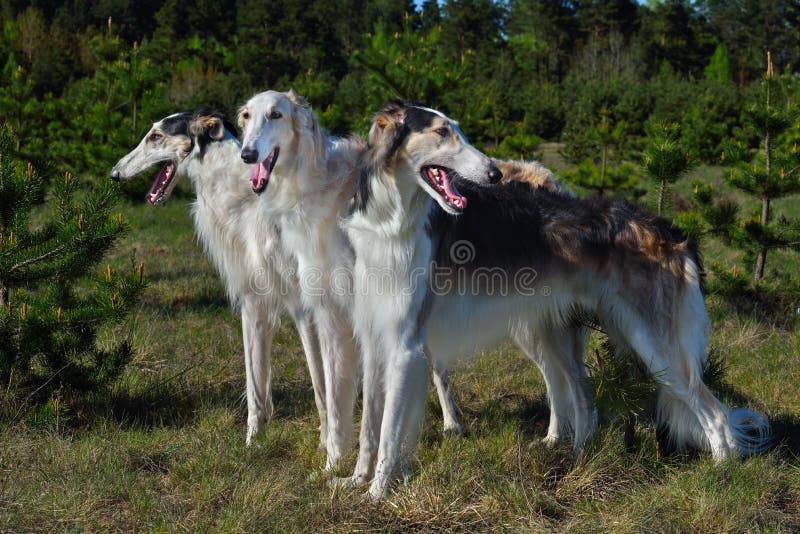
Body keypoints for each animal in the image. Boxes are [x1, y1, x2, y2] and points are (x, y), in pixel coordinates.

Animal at [108, 109, 328, 452]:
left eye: (156, 136)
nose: (114, 174)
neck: (247, 201)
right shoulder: (253, 303)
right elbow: (255, 387)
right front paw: (252, 442)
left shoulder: (304, 308)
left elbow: (320, 387)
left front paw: (328, 447)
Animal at [342, 101, 768, 502]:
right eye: (442, 131)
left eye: (457, 129)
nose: (495, 174)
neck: (392, 223)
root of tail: (673, 231)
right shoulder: (374, 340)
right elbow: (369, 429)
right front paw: (354, 480)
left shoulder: (405, 345)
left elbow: (390, 431)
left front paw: (378, 492)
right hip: (550, 330)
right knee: (581, 392)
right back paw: (572, 452)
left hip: (655, 345)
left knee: (712, 412)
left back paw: (721, 474)